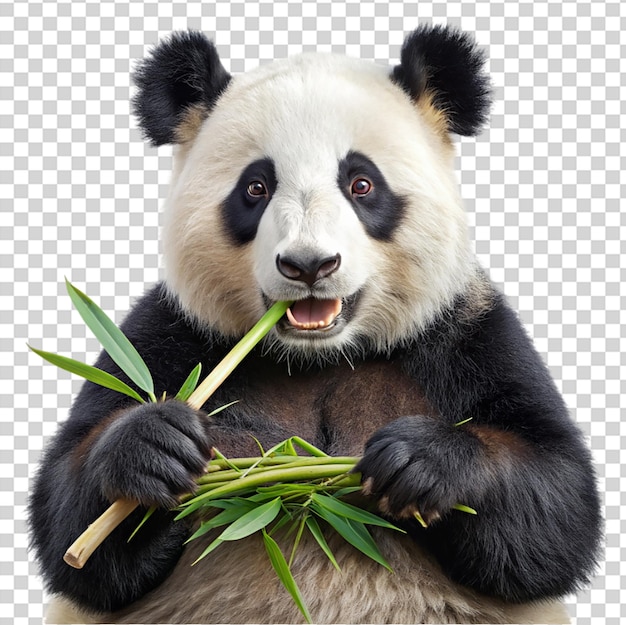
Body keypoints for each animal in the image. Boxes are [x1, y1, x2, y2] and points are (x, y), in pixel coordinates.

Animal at [30, 24, 600, 624]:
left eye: (362, 183)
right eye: (255, 188)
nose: (308, 265)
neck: (318, 355)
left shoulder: (465, 334)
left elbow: (556, 505)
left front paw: (419, 460)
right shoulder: (168, 337)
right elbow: (72, 531)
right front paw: (153, 447)